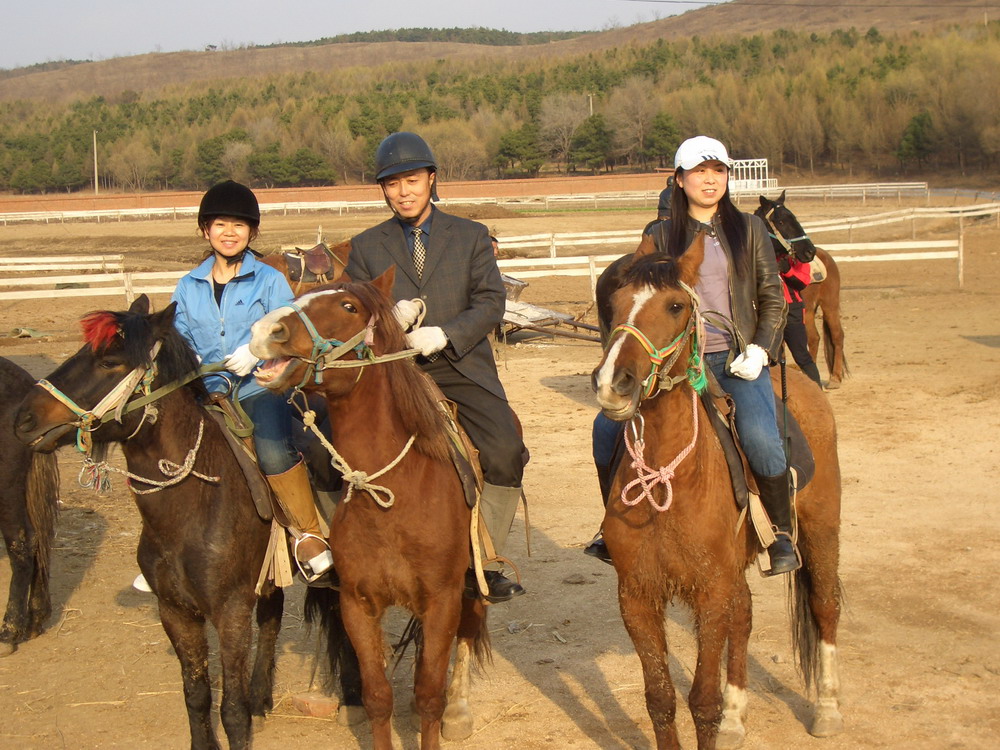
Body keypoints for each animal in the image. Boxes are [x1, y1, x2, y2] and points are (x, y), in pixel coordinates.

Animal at [592, 238, 844, 750]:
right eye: (615, 302)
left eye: (675, 306)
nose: (613, 383)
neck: (668, 480)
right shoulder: (637, 596)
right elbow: (660, 699)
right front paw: (723, 714)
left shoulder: (709, 592)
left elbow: (701, 703)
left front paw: (718, 712)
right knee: (743, 617)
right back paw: (737, 716)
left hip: (821, 529)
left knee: (824, 605)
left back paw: (827, 710)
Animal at [752, 191, 848, 390]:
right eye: (781, 221)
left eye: (793, 217)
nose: (809, 251)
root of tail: (825, 255)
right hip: (809, 312)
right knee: (814, 339)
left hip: (830, 305)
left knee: (837, 336)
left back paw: (835, 378)